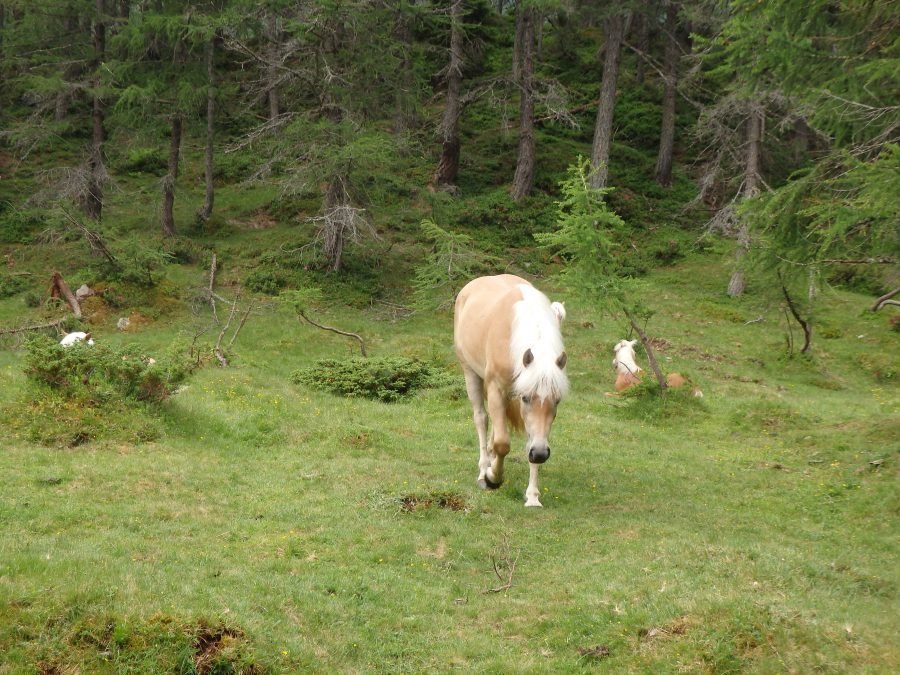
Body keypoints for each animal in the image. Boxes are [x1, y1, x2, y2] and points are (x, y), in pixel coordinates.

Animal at [454, 274, 568, 508]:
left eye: (557, 400)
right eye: (525, 398)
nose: (541, 454)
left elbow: (527, 441)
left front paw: (533, 496)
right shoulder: (497, 389)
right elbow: (502, 443)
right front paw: (492, 478)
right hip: (471, 373)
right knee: (481, 419)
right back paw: (483, 470)